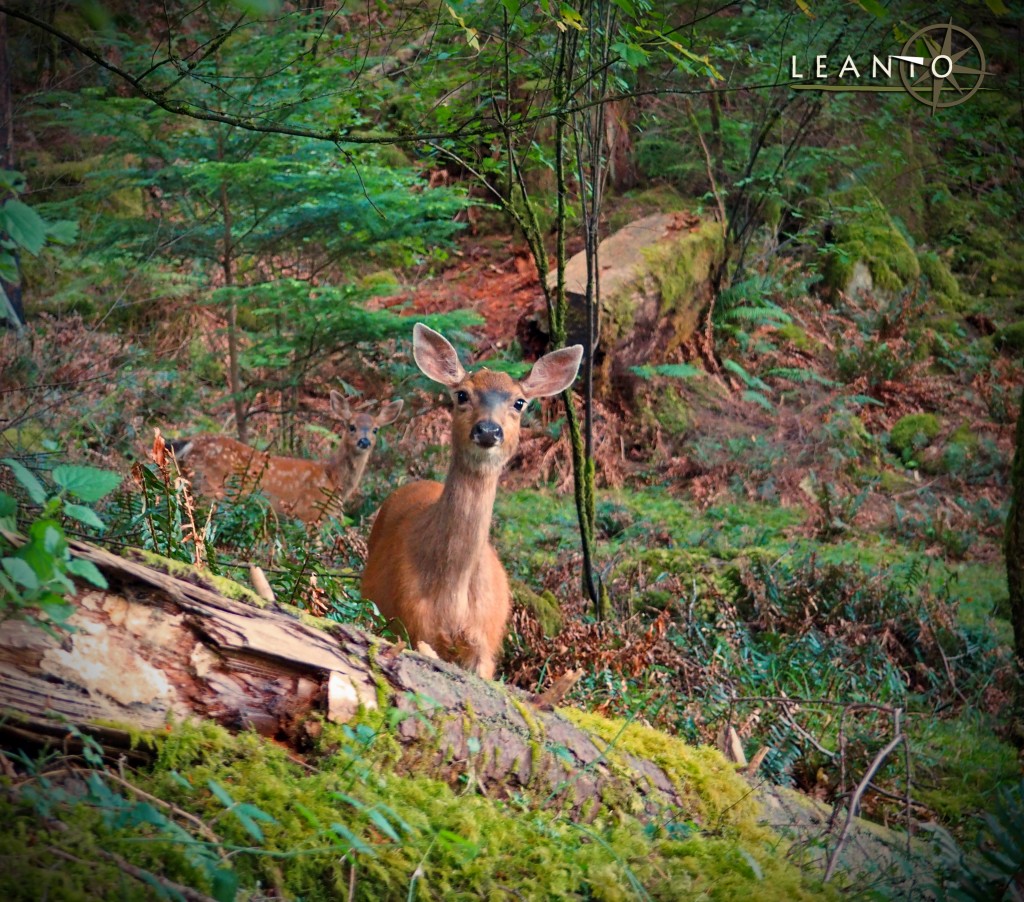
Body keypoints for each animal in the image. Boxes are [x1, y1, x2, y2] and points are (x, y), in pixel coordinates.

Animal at [169, 391, 401, 524]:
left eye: (376, 429)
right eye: (351, 426)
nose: (364, 441)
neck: (333, 478)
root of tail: (191, 442)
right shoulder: (307, 512)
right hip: (210, 486)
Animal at [362, 323, 585, 675]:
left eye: (519, 402)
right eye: (462, 394)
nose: (489, 430)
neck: (453, 596)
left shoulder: (487, 644)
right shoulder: (411, 624)